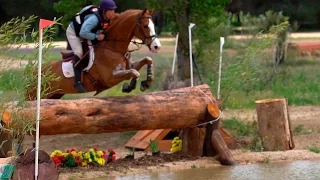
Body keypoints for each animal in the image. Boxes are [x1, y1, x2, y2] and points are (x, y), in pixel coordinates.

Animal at [23, 8, 161, 101]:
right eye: (145, 26)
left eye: (153, 25)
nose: (156, 47)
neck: (113, 48)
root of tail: (32, 72)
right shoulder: (110, 79)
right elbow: (134, 72)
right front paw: (130, 86)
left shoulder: (127, 67)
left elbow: (147, 60)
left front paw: (147, 82)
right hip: (33, 96)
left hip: (54, 95)